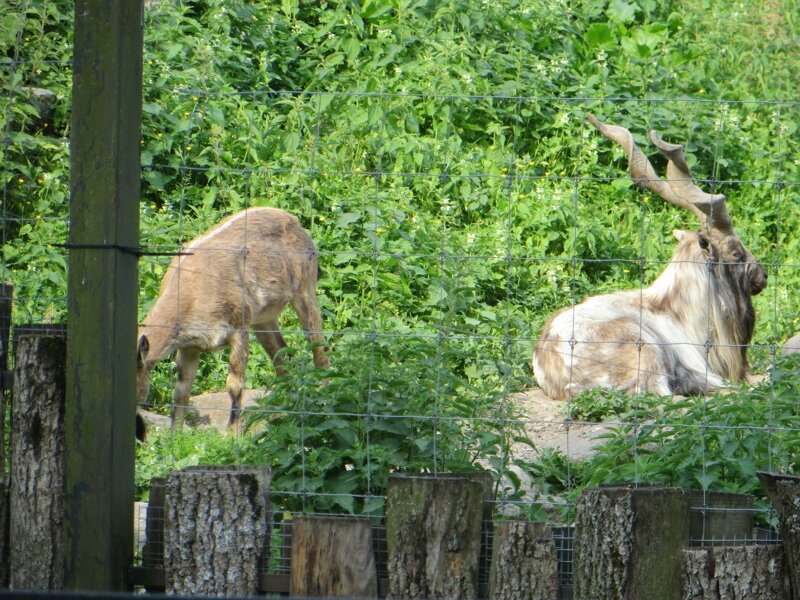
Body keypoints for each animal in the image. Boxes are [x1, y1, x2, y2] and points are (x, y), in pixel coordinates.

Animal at [138, 209, 328, 428]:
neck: (191, 294)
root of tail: (293, 221)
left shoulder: (238, 328)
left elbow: (234, 386)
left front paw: (232, 433)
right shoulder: (189, 347)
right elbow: (182, 389)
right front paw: (175, 433)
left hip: (305, 292)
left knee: (319, 347)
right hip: (263, 319)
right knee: (282, 355)